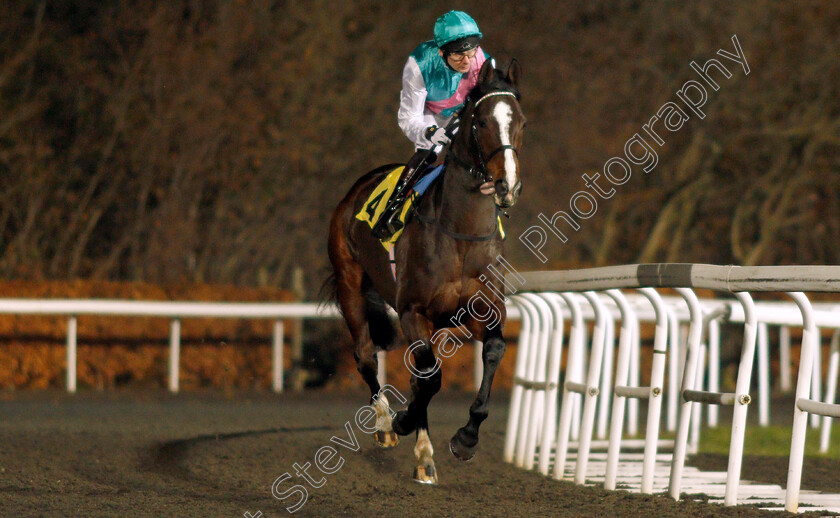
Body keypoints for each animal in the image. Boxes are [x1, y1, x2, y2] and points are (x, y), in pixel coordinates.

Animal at [328, 61, 524, 488]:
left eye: (520, 121)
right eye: (481, 121)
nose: (507, 184)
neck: (460, 235)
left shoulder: (484, 309)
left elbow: (492, 353)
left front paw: (465, 439)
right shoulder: (412, 311)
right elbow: (429, 379)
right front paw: (402, 422)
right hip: (350, 285)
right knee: (365, 354)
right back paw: (386, 424)